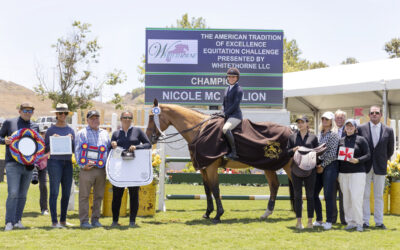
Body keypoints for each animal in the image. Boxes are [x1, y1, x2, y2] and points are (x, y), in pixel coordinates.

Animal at [145, 99, 292, 223]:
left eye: (152, 117)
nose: (148, 137)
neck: (200, 130)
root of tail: (291, 130)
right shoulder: (203, 168)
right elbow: (207, 189)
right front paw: (207, 213)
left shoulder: (211, 167)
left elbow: (215, 189)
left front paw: (218, 215)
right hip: (269, 166)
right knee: (274, 185)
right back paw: (267, 213)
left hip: (286, 166)